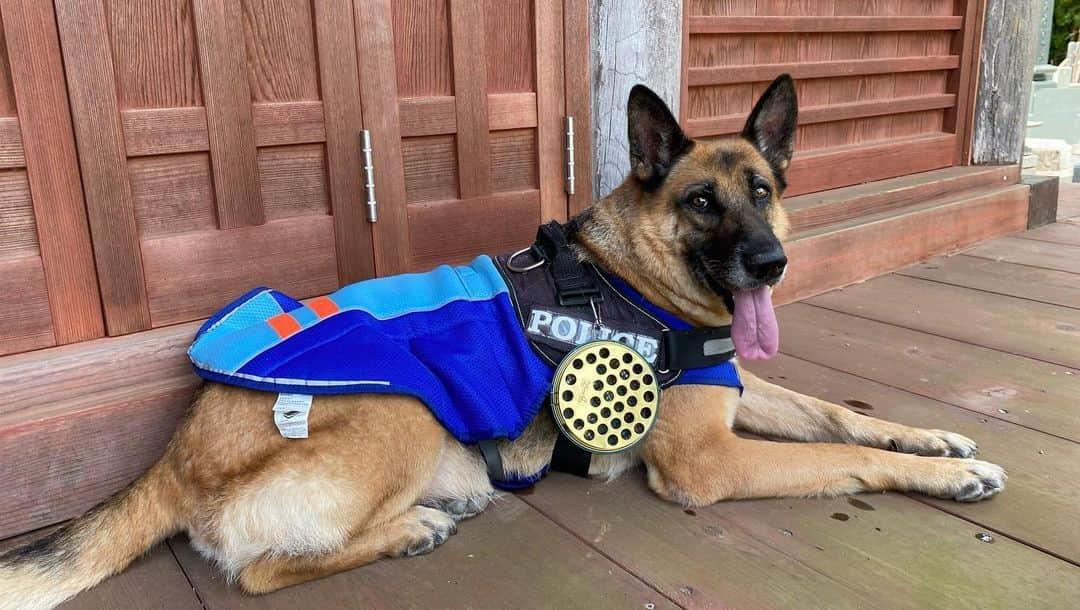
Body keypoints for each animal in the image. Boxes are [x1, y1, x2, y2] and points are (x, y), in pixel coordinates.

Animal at [4, 75, 1006, 604]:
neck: (634, 276)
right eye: (701, 202)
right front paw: (941, 477)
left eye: (762, 190)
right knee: (256, 571)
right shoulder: (709, 463)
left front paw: (938, 439)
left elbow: (839, 414)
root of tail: (176, 449)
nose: (770, 264)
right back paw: (412, 529)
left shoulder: (740, 394)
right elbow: (842, 459)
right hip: (403, 413)